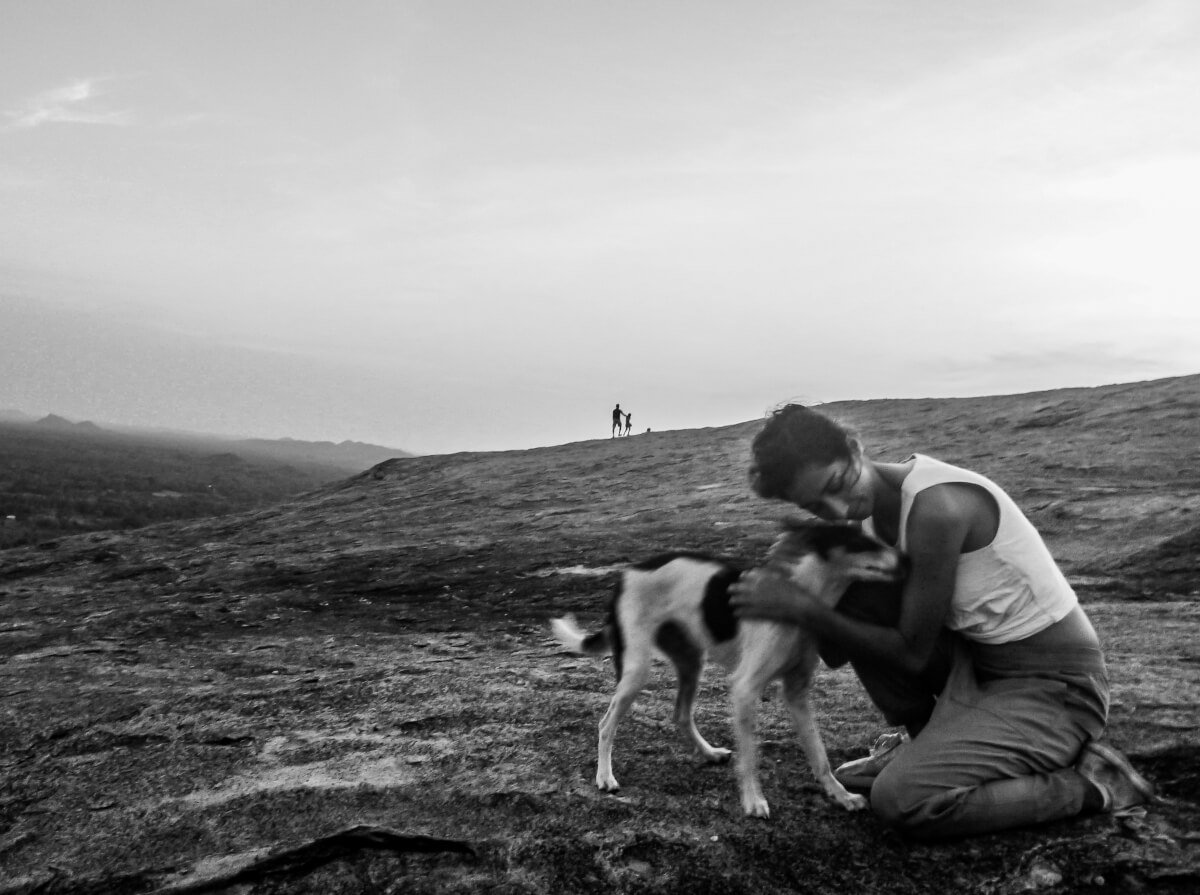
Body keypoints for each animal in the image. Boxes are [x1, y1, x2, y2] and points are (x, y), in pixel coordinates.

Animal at [549, 515, 902, 815]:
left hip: (691, 662)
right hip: (637, 670)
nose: (905, 559)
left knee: (681, 714)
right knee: (605, 724)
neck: (798, 598)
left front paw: (841, 795)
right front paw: (753, 801)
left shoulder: (797, 692)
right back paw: (605, 777)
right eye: (860, 542)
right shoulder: (745, 689)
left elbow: (820, 755)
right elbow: (750, 758)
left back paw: (708, 753)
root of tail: (627, 574)